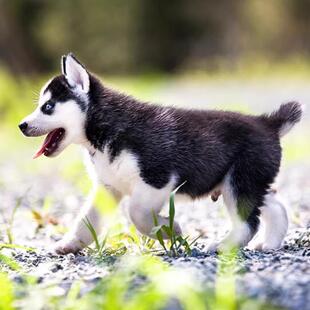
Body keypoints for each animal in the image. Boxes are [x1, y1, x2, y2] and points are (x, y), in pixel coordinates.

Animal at [18, 53, 302, 254]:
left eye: (48, 107)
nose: (21, 125)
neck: (102, 130)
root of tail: (267, 122)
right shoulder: (108, 187)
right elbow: (87, 220)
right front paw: (69, 244)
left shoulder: (157, 179)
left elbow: (135, 213)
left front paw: (168, 229)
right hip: (249, 183)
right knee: (274, 206)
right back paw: (270, 244)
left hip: (239, 182)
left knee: (248, 222)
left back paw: (223, 246)